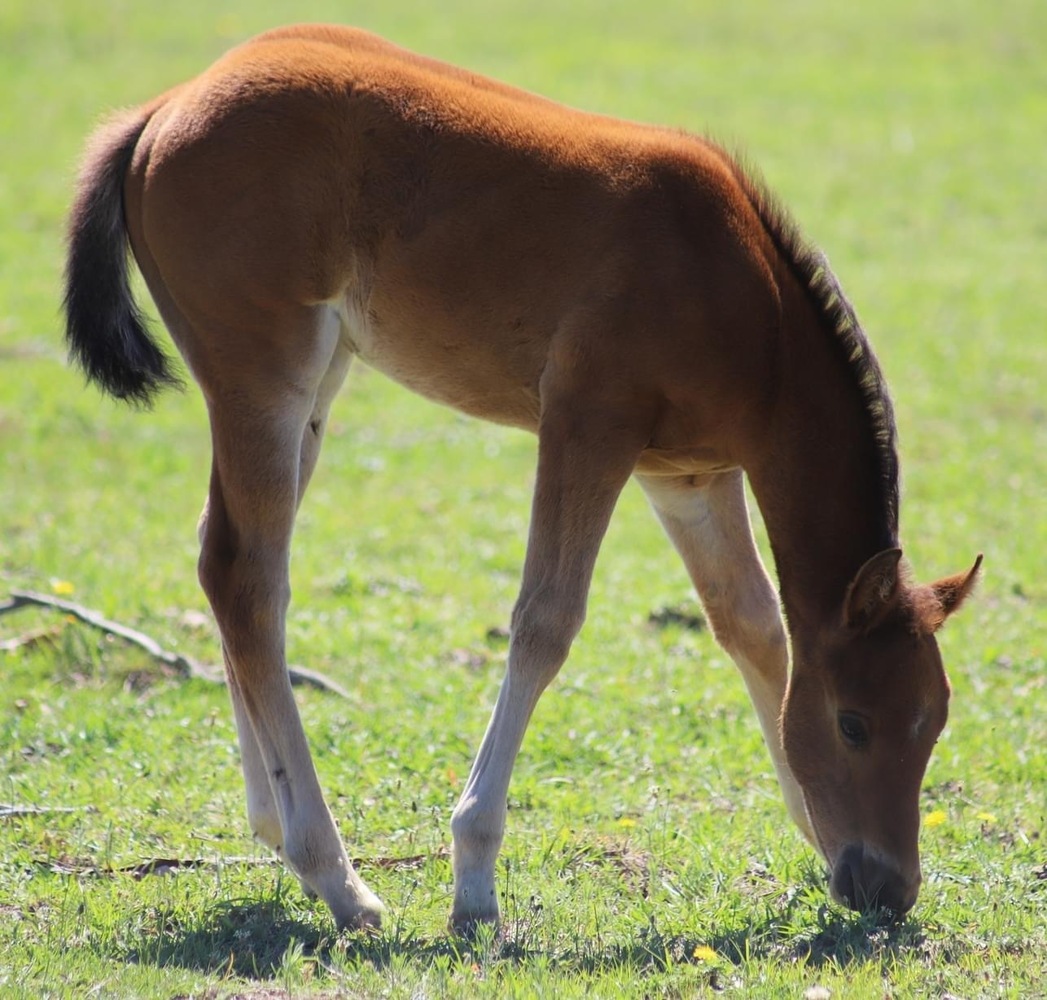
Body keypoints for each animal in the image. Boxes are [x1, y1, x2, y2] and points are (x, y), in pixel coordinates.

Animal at [63, 24, 980, 931]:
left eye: (934, 720)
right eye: (853, 722)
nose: (888, 888)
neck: (749, 306)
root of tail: (164, 109)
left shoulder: (687, 474)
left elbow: (751, 625)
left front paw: (814, 835)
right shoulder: (586, 425)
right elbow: (545, 623)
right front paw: (472, 882)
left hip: (315, 384)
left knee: (230, 562)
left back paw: (275, 825)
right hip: (265, 372)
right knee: (247, 577)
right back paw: (335, 876)